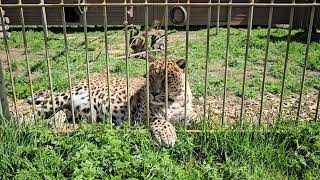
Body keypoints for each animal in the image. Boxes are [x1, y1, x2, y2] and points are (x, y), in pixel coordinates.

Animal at [26, 58, 195, 147]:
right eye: (150, 77)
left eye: (166, 79)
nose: (153, 93)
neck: (173, 101)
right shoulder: (141, 116)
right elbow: (159, 119)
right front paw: (167, 135)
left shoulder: (189, 116)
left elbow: (196, 118)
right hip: (66, 95)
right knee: (39, 108)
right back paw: (26, 118)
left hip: (78, 111)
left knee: (60, 111)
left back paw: (54, 121)